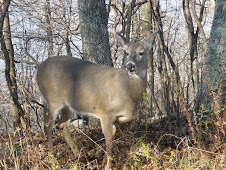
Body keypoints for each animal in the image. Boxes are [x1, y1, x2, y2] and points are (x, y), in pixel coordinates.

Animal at [36, 30, 158, 170]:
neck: (128, 91)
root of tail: (38, 69)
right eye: (126, 52)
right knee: (48, 125)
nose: (130, 66)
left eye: (141, 52)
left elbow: (115, 130)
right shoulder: (105, 112)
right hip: (53, 99)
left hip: (68, 106)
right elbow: (109, 140)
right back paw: (52, 159)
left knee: (61, 125)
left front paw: (103, 157)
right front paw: (108, 165)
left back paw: (80, 156)